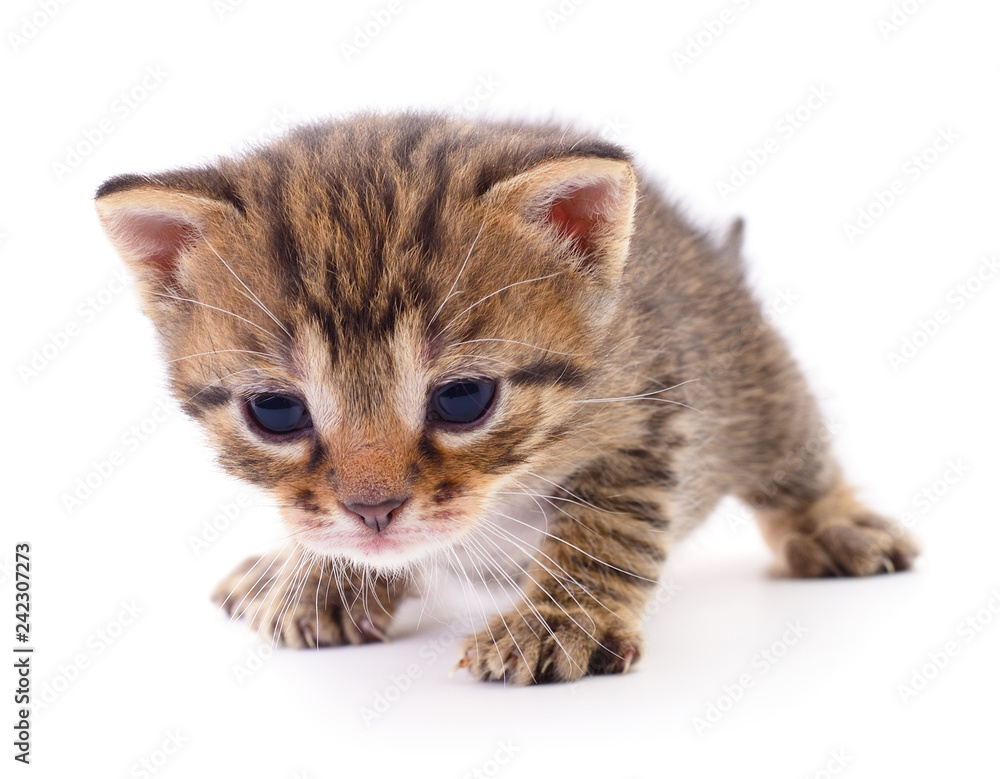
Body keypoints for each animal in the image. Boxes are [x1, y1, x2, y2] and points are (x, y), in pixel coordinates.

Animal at [97, 112, 916, 684]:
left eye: (464, 399)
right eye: (275, 412)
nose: (373, 511)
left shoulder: (649, 406)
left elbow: (608, 526)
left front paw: (557, 620)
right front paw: (319, 576)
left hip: (759, 383)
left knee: (794, 457)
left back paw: (832, 523)